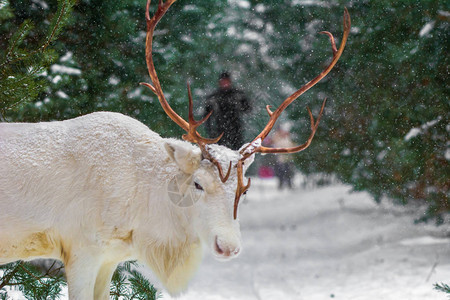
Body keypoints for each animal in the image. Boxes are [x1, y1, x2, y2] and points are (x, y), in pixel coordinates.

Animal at [0, 1, 350, 298]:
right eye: (197, 183)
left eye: (244, 190)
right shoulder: (80, 249)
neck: (142, 214)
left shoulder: (109, 258)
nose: (228, 246)